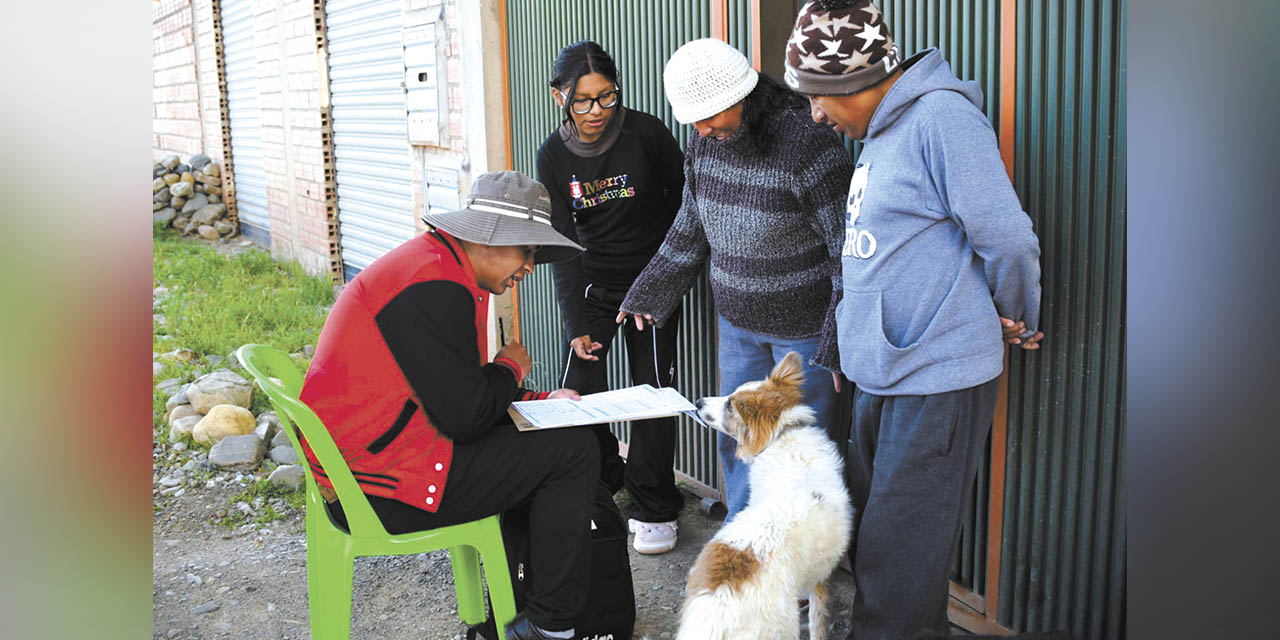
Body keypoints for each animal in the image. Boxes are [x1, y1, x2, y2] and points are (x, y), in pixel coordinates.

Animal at [675, 353, 855, 637]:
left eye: (730, 405)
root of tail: (722, 603)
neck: (783, 435)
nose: (699, 401)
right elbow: (818, 622)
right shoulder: (820, 577)